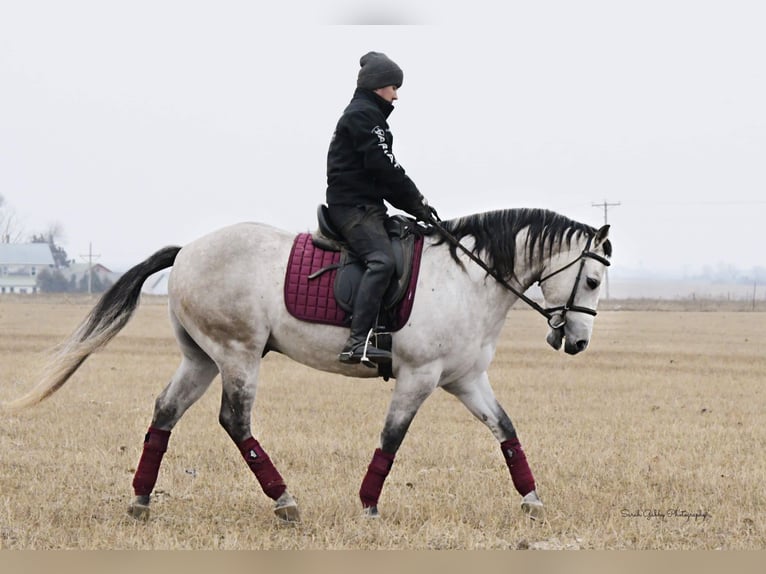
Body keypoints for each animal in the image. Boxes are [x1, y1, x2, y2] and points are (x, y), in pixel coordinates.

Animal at [1, 209, 612, 524]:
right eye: (593, 279)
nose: (578, 343)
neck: (467, 278)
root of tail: (188, 250)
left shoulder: (465, 379)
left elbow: (506, 431)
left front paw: (533, 500)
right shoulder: (420, 377)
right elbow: (391, 440)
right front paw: (368, 505)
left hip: (202, 357)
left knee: (165, 414)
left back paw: (141, 499)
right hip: (239, 354)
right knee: (235, 422)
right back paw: (284, 500)